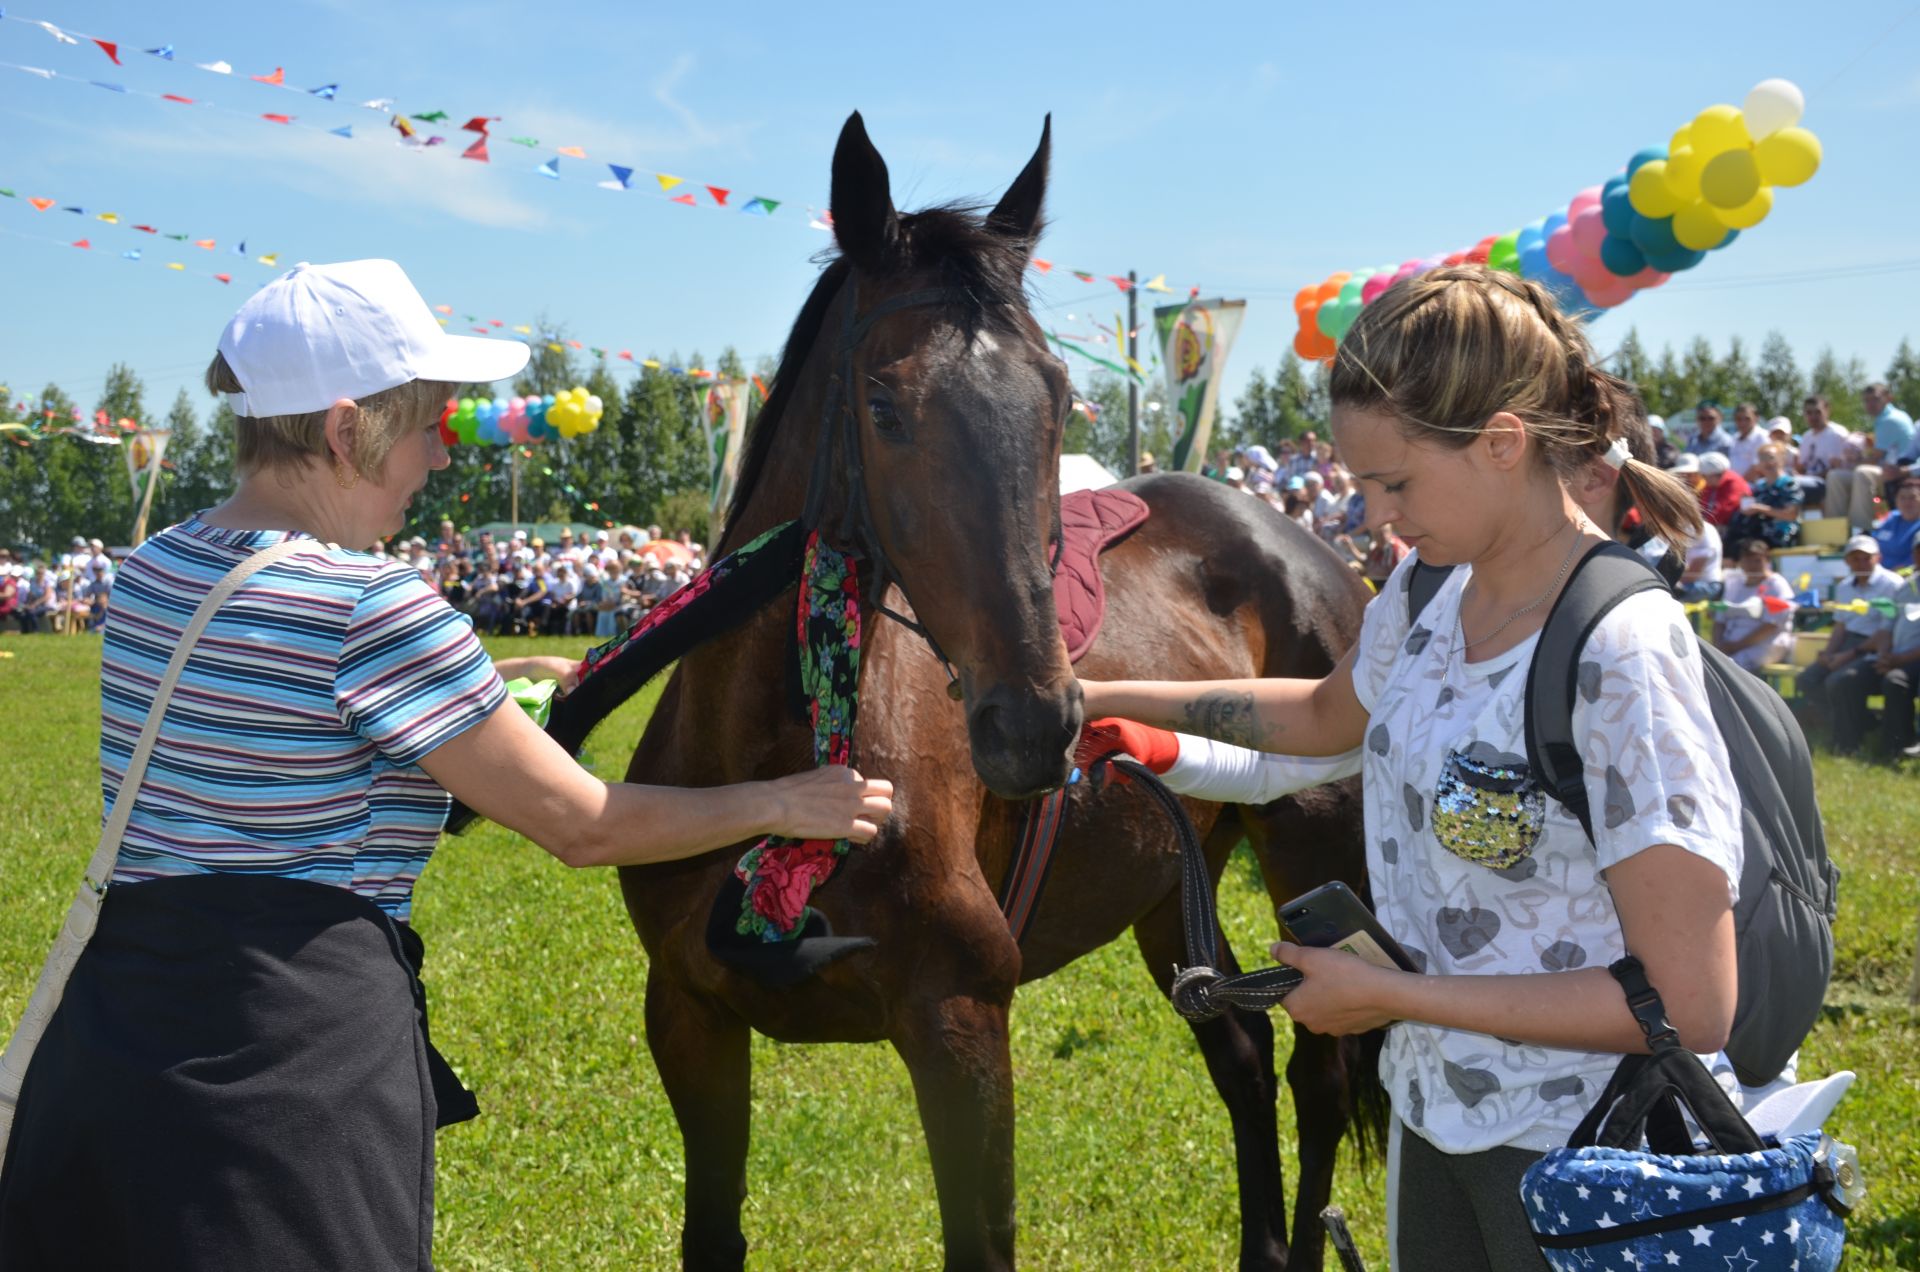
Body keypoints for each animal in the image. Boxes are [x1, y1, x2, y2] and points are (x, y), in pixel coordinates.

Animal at [614, 114, 1382, 1268]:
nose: (1034, 725)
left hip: (1312, 858)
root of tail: (1312, 554)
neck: (774, 771)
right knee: (1242, 1050)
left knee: (1317, 1075)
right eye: (882, 402)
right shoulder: (689, 1018)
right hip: (1175, 881)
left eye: (1058, 396)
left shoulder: (961, 1025)